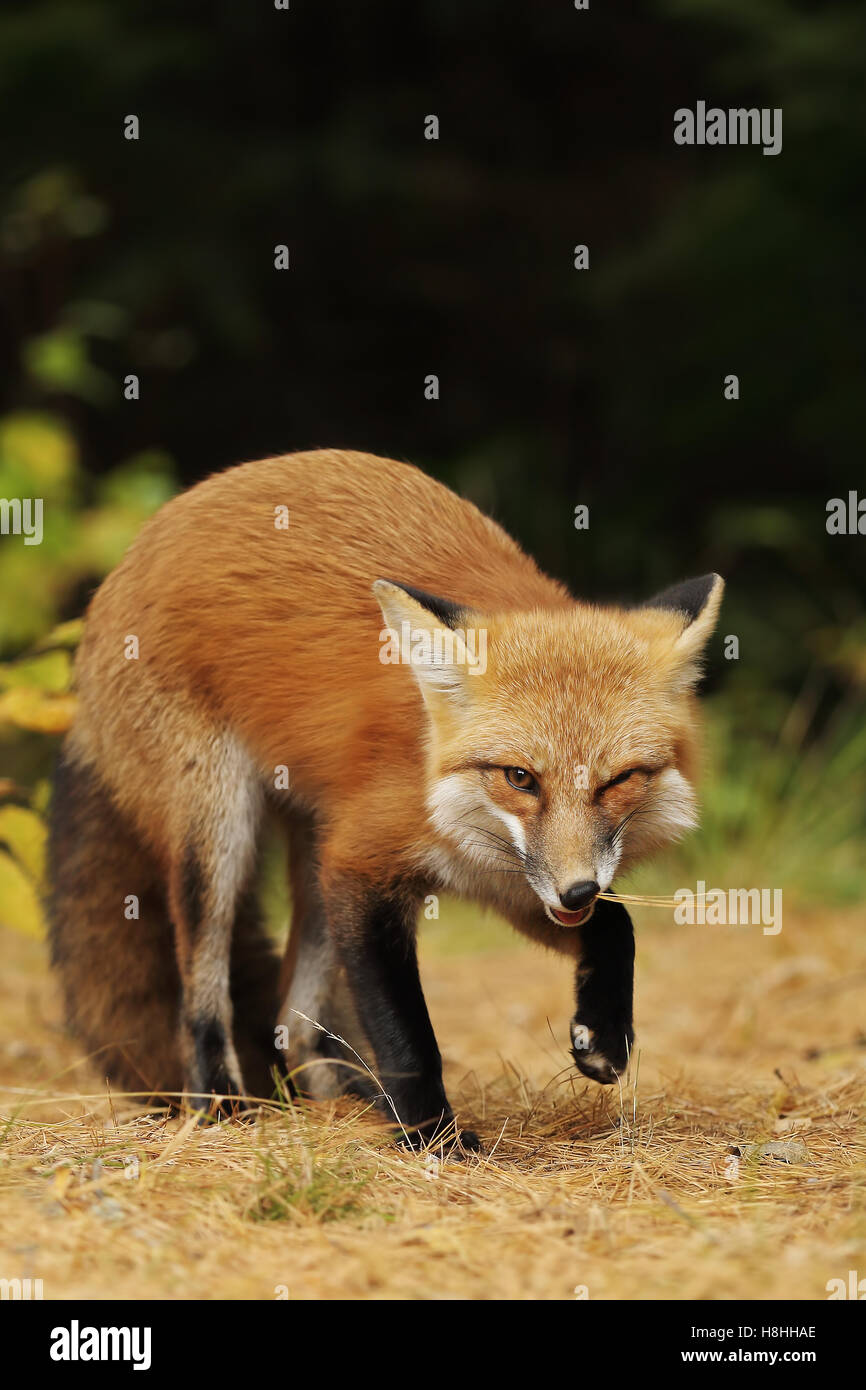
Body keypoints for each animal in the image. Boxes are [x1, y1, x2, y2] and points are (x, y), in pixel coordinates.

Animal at [48, 448, 723, 1149]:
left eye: (616, 782)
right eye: (520, 778)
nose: (578, 890)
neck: (432, 769)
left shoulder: (496, 874)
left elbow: (617, 926)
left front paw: (604, 1033)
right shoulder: (361, 864)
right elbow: (408, 1038)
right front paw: (435, 1139)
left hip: (312, 858)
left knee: (295, 1027)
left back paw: (352, 1103)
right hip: (218, 837)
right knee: (204, 998)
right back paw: (223, 1106)